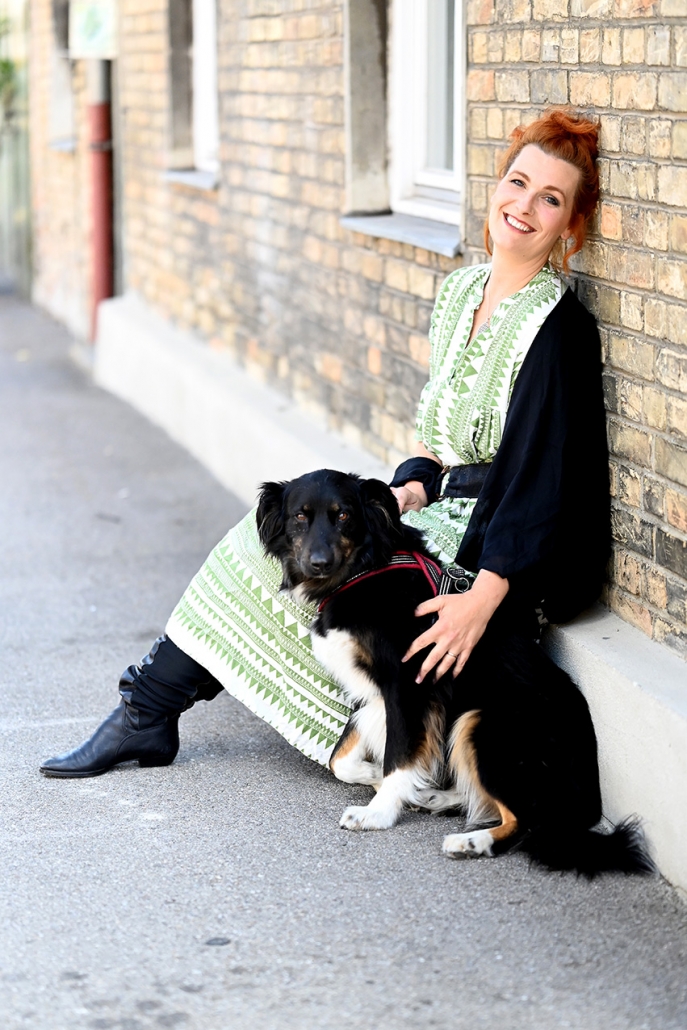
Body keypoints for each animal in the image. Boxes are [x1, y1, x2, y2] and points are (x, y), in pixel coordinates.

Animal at [257, 469, 653, 877]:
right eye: (300, 516)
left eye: (343, 516)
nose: (319, 562)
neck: (363, 571)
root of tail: (588, 799)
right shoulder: (370, 693)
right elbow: (340, 759)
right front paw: (379, 779)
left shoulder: (408, 685)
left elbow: (398, 755)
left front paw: (379, 811)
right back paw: (436, 798)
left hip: (483, 723)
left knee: (529, 822)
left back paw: (472, 841)